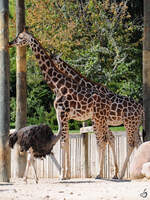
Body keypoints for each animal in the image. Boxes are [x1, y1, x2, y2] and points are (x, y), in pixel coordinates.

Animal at [8, 29, 119, 180]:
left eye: (20, 37)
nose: (10, 42)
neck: (58, 86)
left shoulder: (63, 113)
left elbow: (63, 142)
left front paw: (64, 175)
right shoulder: (60, 114)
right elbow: (64, 141)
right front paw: (66, 174)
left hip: (98, 119)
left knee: (103, 140)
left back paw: (102, 173)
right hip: (100, 120)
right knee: (108, 139)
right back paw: (112, 173)